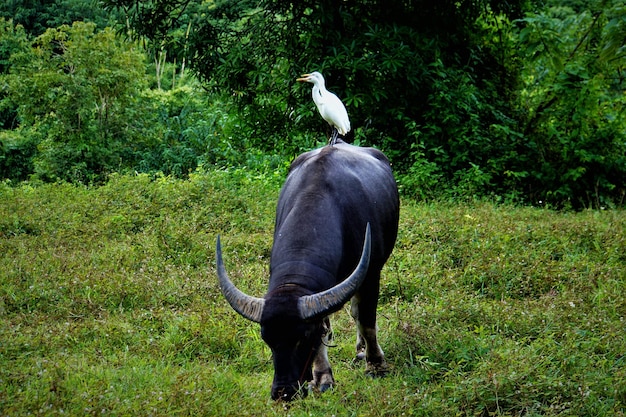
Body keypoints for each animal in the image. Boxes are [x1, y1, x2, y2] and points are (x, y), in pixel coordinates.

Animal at [214, 140, 400, 400]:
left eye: (302, 338)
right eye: (267, 339)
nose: (282, 391)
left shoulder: (371, 273)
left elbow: (367, 320)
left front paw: (375, 365)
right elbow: (325, 326)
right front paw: (322, 378)